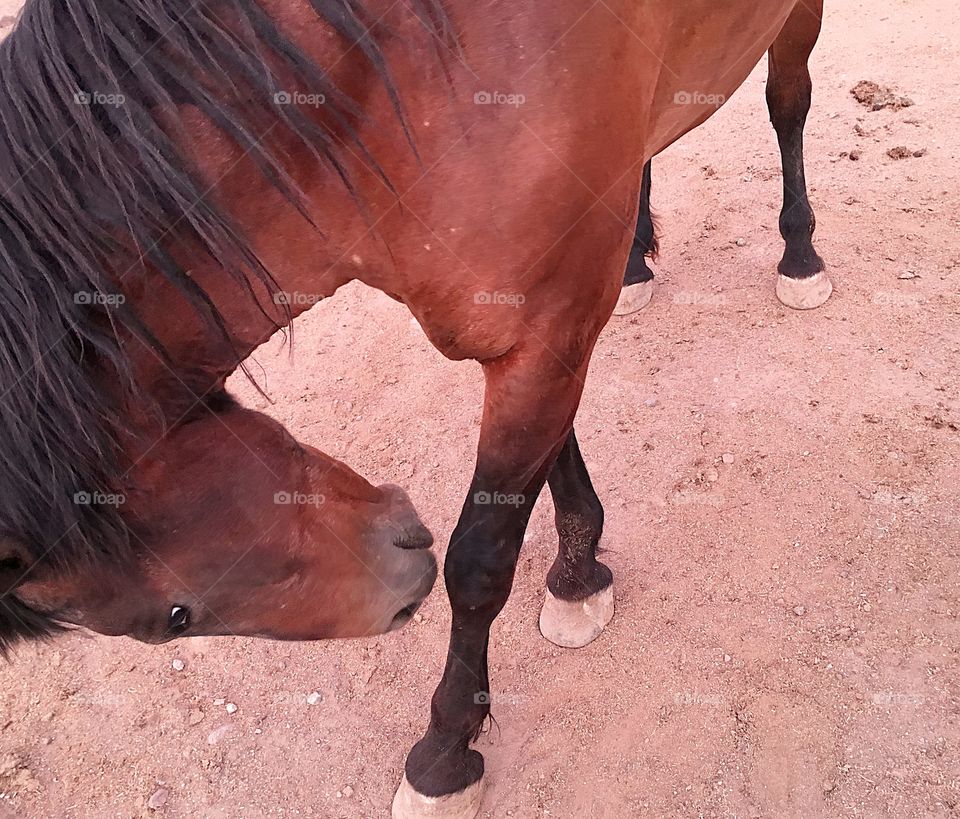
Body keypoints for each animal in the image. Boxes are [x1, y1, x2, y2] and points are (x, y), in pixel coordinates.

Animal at [0, 1, 824, 819]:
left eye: (178, 615)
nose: (397, 595)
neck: (392, 76)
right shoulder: (546, 325)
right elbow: (554, 455)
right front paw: (580, 573)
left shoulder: (544, 331)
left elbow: (481, 561)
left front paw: (446, 751)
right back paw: (637, 261)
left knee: (788, 99)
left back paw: (800, 254)